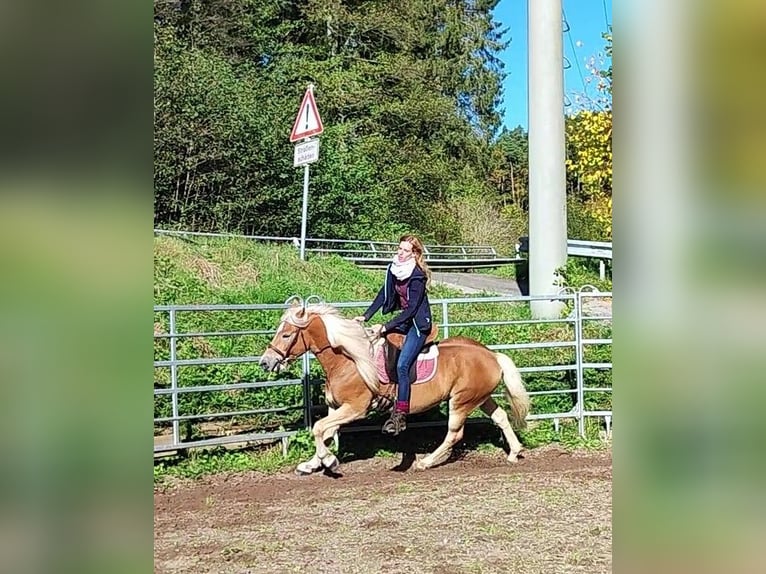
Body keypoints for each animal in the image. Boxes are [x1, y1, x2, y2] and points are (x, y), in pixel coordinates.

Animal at [260, 300, 532, 474]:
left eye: (286, 335)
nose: (266, 362)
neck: (348, 360)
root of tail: (492, 355)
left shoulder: (355, 408)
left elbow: (318, 429)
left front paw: (329, 461)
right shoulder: (335, 408)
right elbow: (325, 432)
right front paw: (312, 464)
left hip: (462, 401)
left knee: (454, 433)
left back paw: (426, 462)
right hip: (480, 397)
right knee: (501, 417)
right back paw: (514, 452)